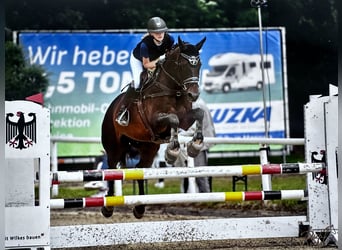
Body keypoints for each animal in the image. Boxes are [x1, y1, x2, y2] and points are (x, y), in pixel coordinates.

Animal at [99, 36, 206, 218]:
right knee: (112, 169)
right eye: (182, 65)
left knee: (139, 169)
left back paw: (140, 208)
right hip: (114, 146)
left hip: (148, 147)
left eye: (198, 64)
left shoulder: (186, 119)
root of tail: (111, 109)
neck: (172, 89)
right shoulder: (156, 121)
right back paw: (108, 207)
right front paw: (172, 151)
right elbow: (173, 119)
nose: (194, 94)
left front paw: (195, 146)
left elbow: (198, 113)